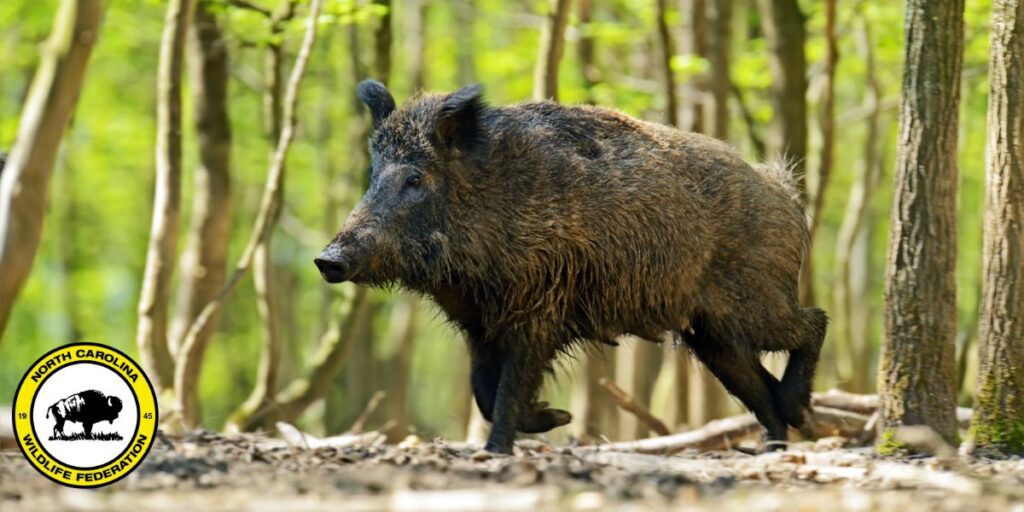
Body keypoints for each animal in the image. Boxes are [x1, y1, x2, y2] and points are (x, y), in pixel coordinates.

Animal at [316, 80, 828, 454]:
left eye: (415, 178)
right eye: (373, 175)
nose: (326, 260)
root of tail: (784, 189)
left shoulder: (539, 310)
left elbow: (507, 389)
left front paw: (501, 450)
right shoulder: (480, 323)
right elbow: (483, 389)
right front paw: (553, 419)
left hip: (753, 302)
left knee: (813, 322)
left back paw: (796, 414)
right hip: (711, 333)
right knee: (756, 384)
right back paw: (774, 443)